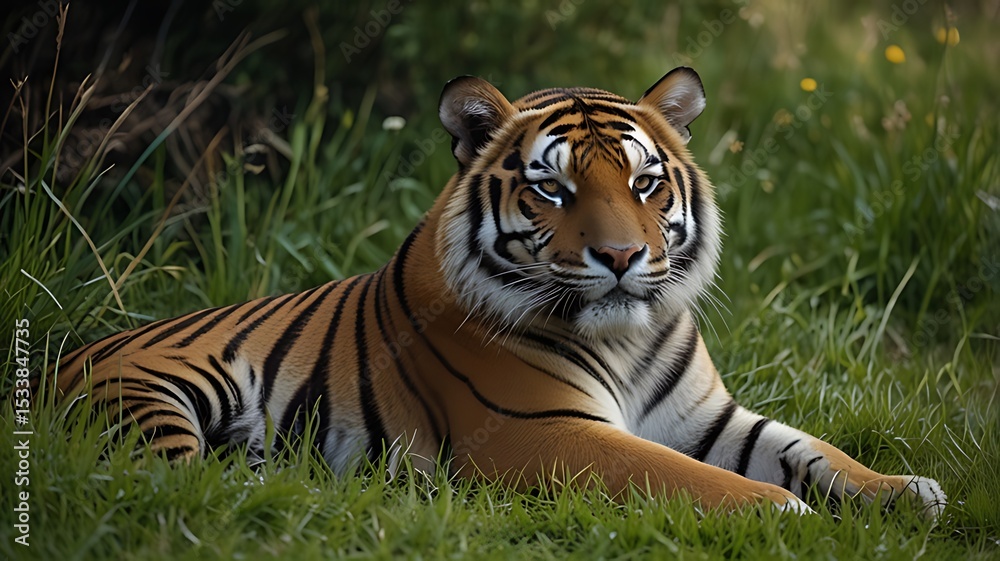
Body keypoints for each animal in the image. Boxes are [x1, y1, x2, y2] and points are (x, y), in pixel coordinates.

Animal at [48, 66, 945, 516]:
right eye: (553, 189)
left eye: (646, 182)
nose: (622, 255)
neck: (627, 334)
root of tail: (62, 348)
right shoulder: (543, 431)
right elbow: (688, 477)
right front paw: (783, 512)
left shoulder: (708, 416)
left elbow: (812, 448)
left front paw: (906, 490)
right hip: (161, 393)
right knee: (176, 484)